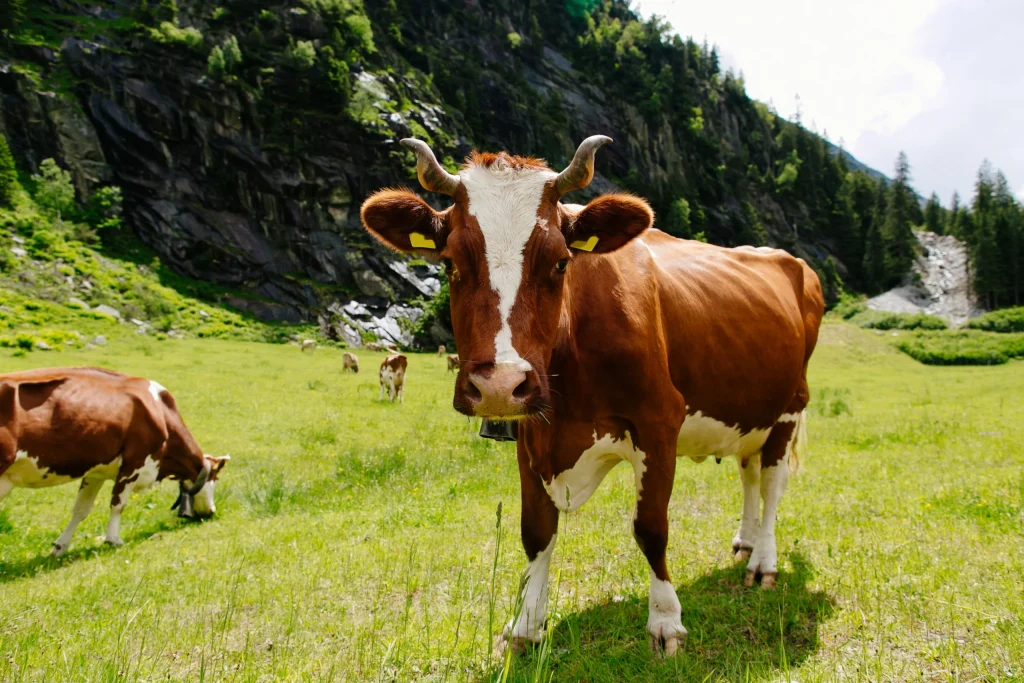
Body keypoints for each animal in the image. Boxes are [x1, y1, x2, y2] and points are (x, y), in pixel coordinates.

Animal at [0, 367, 229, 556]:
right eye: (216, 478)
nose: (211, 511)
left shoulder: (95, 472)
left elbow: (81, 509)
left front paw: (60, 546)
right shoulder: (134, 464)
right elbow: (118, 504)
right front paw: (114, 540)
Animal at [360, 136, 824, 656]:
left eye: (561, 261)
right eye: (450, 262)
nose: (499, 384)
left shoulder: (659, 422)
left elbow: (651, 528)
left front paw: (666, 621)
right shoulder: (530, 432)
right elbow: (535, 530)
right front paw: (525, 625)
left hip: (790, 407)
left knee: (772, 483)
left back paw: (763, 561)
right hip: (748, 411)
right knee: (748, 474)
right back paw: (745, 541)